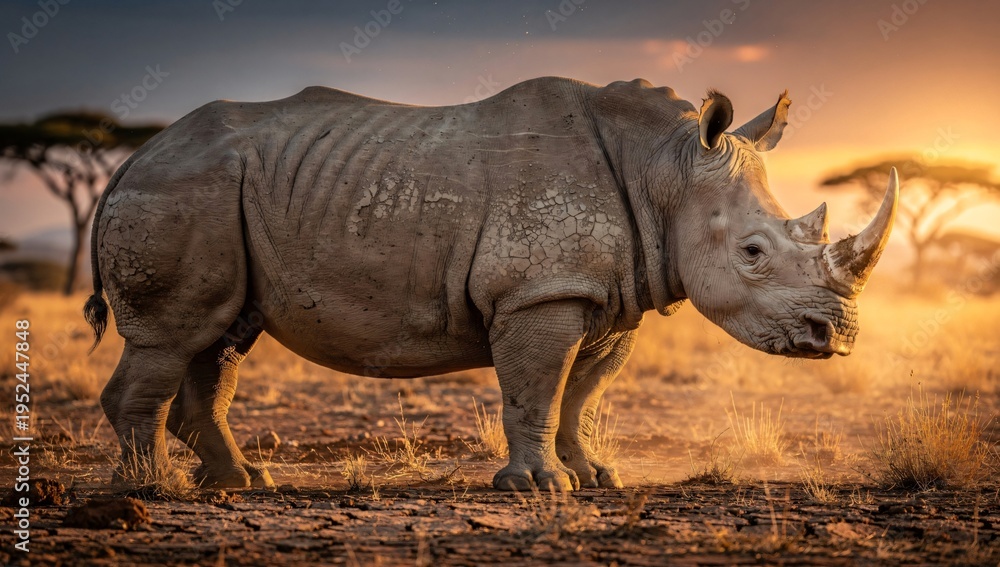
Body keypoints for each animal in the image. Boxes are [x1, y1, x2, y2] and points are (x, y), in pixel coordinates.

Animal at [85, 77, 897, 492]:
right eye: (754, 252)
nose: (837, 337)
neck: (664, 168)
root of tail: (131, 159)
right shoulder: (541, 290)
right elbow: (536, 388)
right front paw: (539, 487)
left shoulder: (606, 297)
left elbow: (580, 395)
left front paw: (594, 476)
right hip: (182, 188)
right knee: (174, 335)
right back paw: (154, 490)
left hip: (220, 193)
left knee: (219, 337)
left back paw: (241, 482)